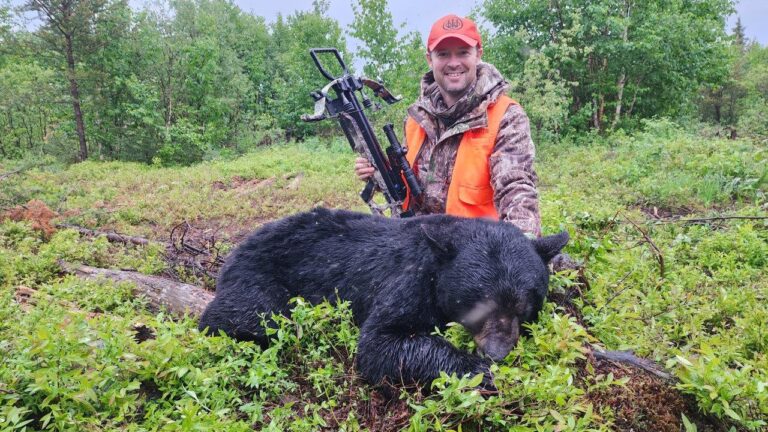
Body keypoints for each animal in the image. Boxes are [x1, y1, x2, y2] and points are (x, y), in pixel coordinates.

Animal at [198, 207, 568, 389]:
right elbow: (380, 344)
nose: (496, 353)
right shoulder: (409, 279)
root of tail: (235, 249)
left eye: (524, 307)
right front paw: (479, 371)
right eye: (479, 306)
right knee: (250, 316)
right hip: (258, 276)